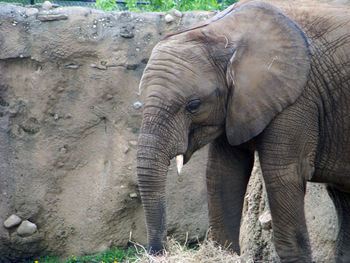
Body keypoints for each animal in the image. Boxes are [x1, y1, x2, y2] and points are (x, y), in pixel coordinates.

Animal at [136, 1, 350, 262]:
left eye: (193, 105)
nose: (157, 251)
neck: (222, 32)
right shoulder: (237, 104)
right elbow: (222, 172)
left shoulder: (298, 97)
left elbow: (283, 175)